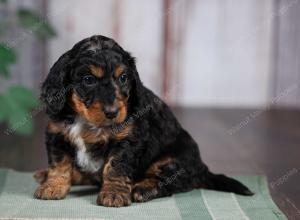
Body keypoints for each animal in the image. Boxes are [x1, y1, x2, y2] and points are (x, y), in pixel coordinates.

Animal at [33, 35, 253, 207]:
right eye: (88, 80)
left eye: (123, 78)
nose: (113, 112)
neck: (86, 120)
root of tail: (202, 168)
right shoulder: (57, 134)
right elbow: (60, 164)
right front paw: (53, 186)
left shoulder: (128, 139)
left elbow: (116, 166)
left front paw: (114, 193)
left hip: (173, 160)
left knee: (170, 182)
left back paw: (142, 189)